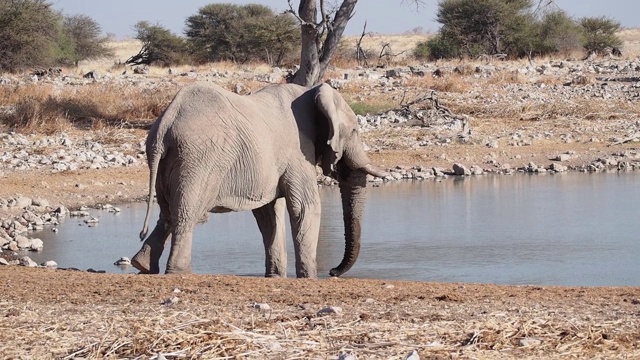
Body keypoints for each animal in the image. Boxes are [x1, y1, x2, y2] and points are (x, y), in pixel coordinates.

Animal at [131, 81, 384, 278]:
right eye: (354, 131)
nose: (332, 272)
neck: (310, 92)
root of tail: (166, 122)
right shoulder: (298, 151)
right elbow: (305, 207)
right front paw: (309, 278)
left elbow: (268, 214)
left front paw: (276, 276)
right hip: (200, 160)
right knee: (187, 214)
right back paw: (179, 272)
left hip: (170, 161)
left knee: (168, 213)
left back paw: (141, 265)